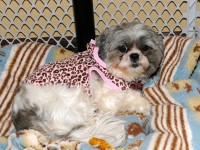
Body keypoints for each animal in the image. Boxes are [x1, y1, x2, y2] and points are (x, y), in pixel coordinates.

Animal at [11, 21, 164, 147]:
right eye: (123, 48)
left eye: (144, 48)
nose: (134, 55)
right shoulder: (108, 98)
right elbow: (130, 96)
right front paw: (144, 105)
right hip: (78, 97)